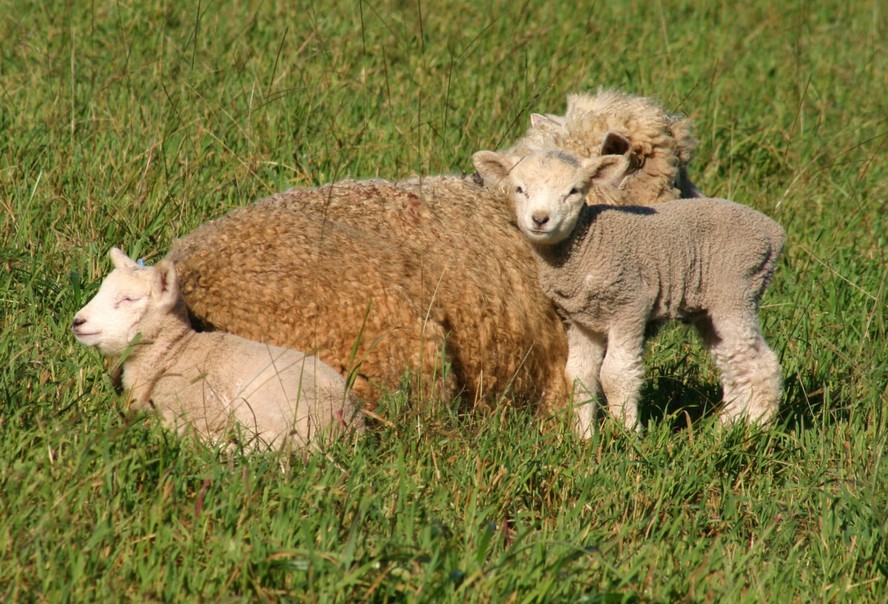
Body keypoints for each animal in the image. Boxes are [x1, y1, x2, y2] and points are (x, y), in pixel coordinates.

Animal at [472, 149, 784, 436]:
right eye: (519, 189)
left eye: (574, 191)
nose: (540, 219)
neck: (588, 243)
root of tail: (775, 232)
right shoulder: (582, 320)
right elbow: (579, 376)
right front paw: (583, 439)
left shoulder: (630, 305)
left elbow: (615, 374)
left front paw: (627, 435)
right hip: (710, 307)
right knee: (734, 364)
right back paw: (727, 427)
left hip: (736, 289)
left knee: (760, 363)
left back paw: (755, 427)